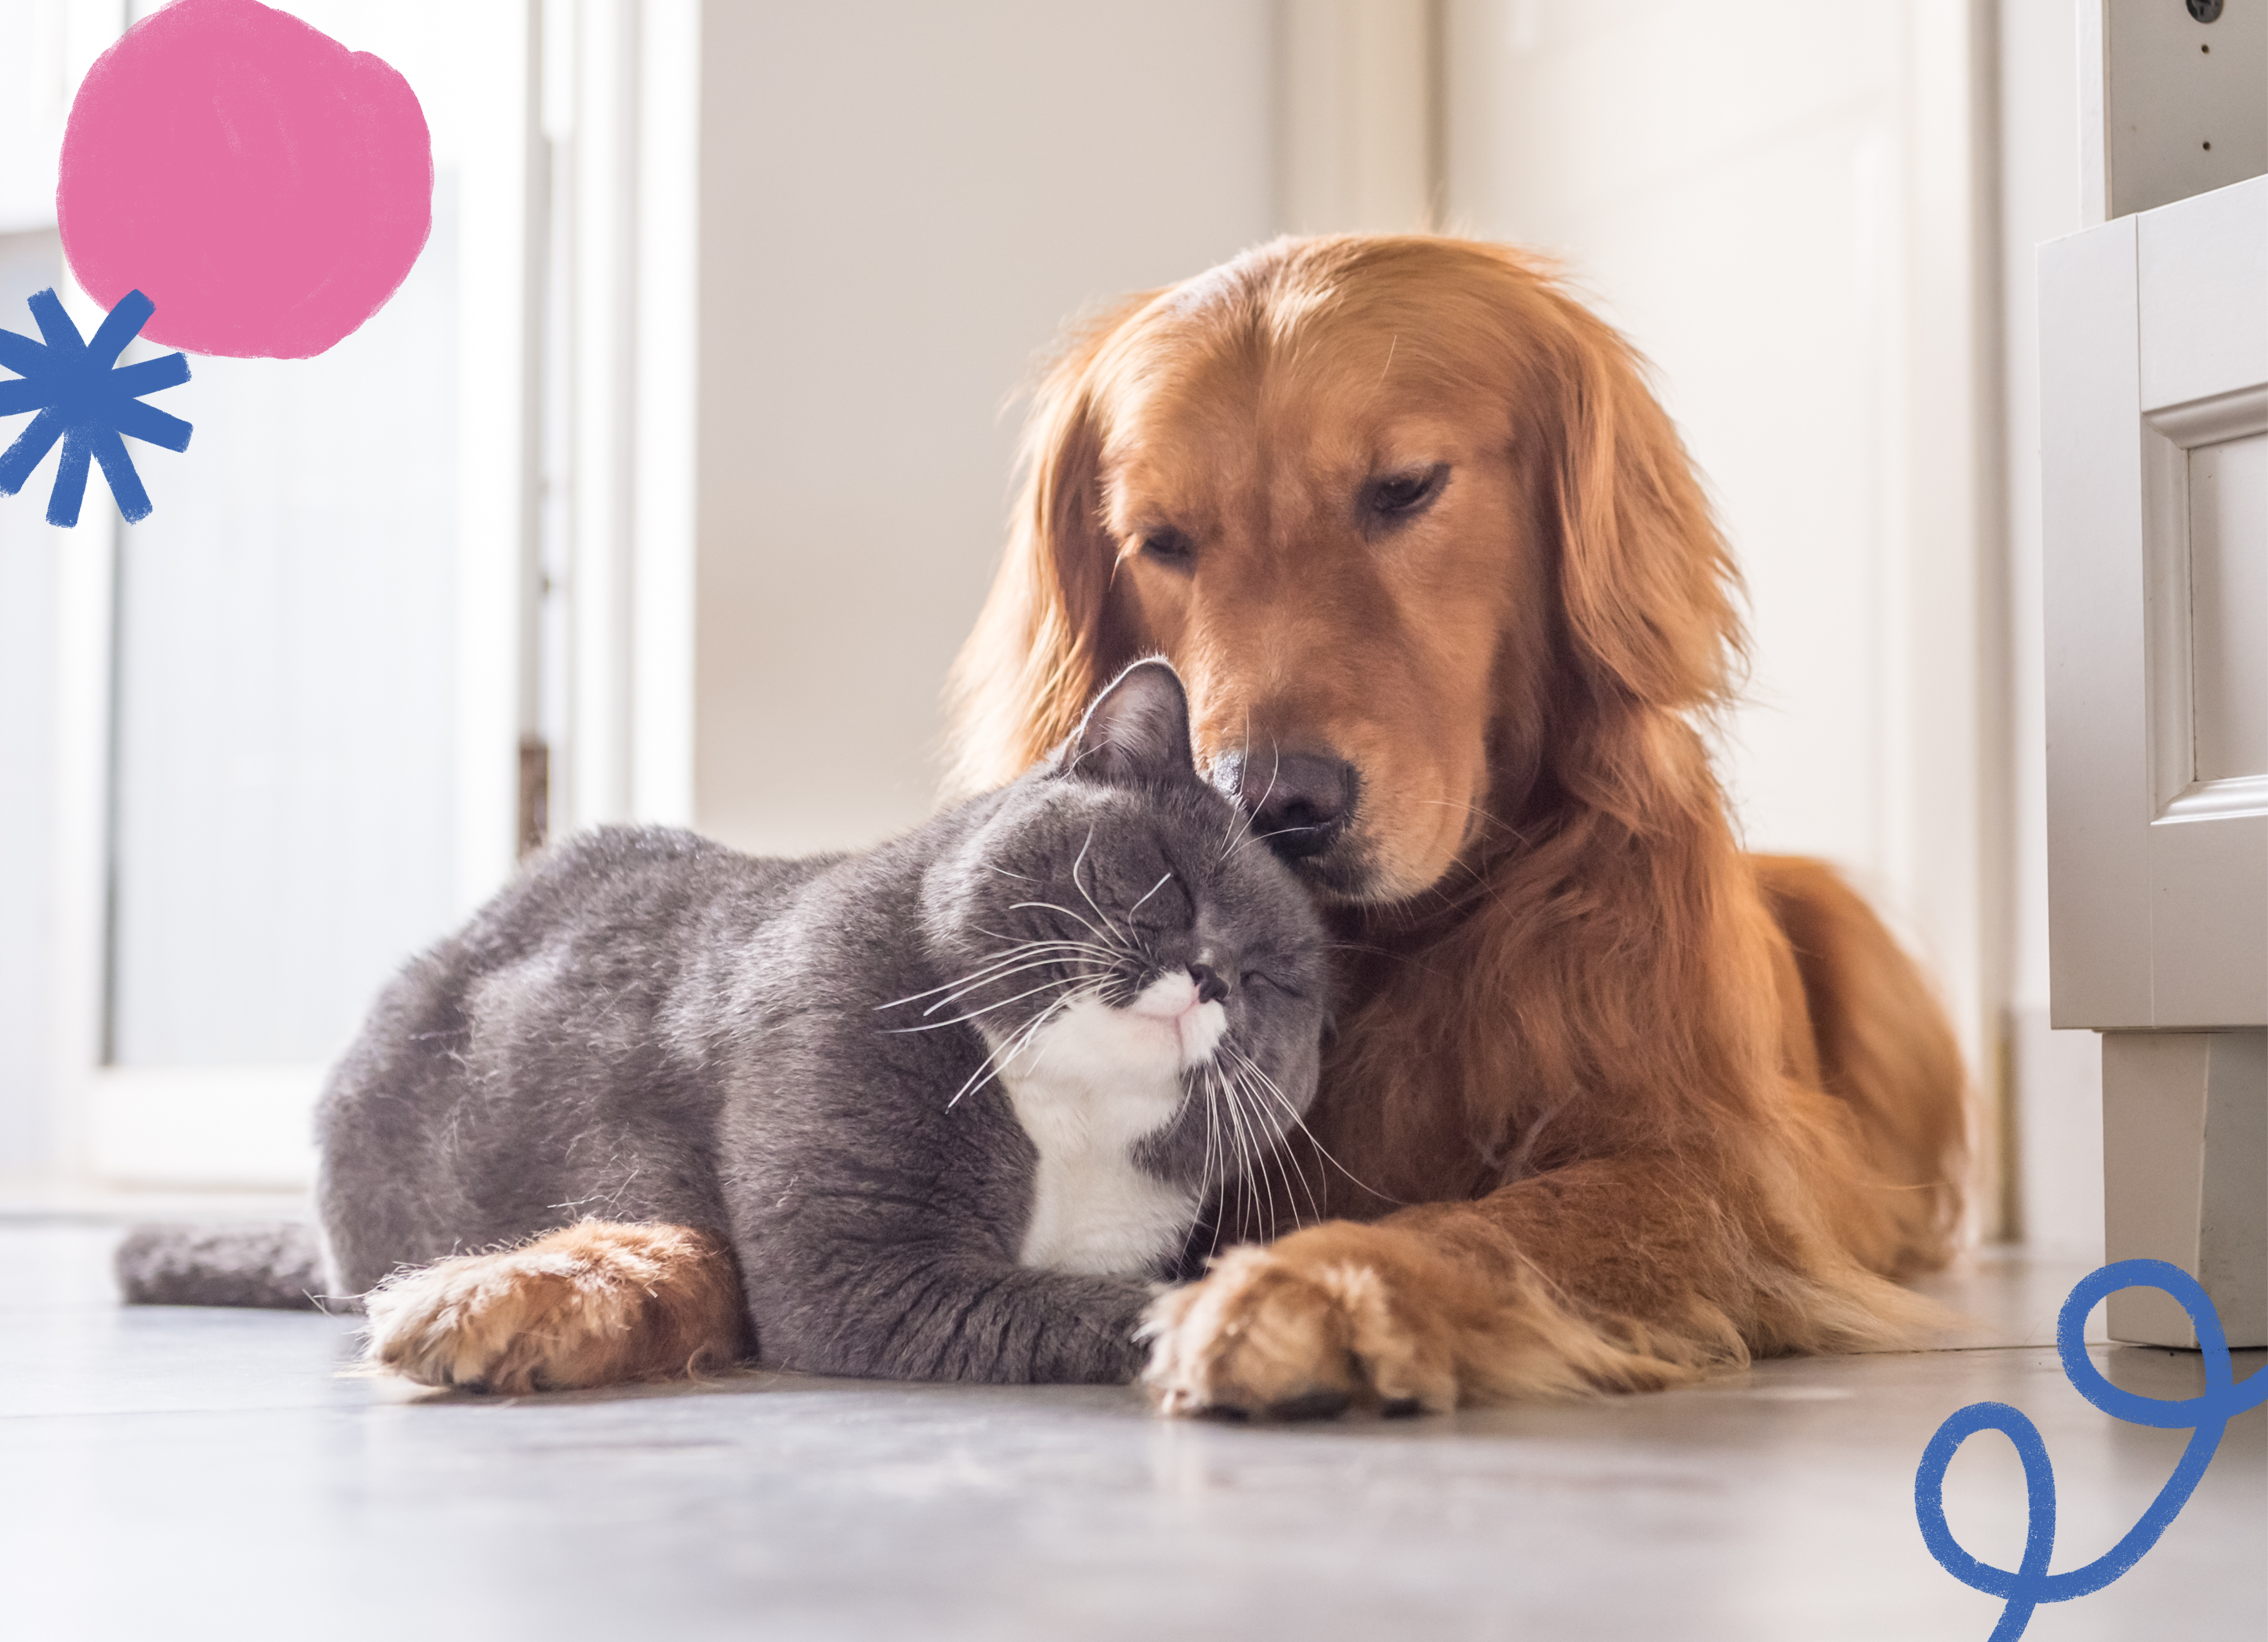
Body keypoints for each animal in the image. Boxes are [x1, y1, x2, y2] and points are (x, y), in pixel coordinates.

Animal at [311, 662, 1325, 1379]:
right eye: (1171, 879)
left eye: (1274, 978)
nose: (1212, 977)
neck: (1068, 1121)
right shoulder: (865, 1269)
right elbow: (1092, 1306)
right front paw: (1235, 1321)